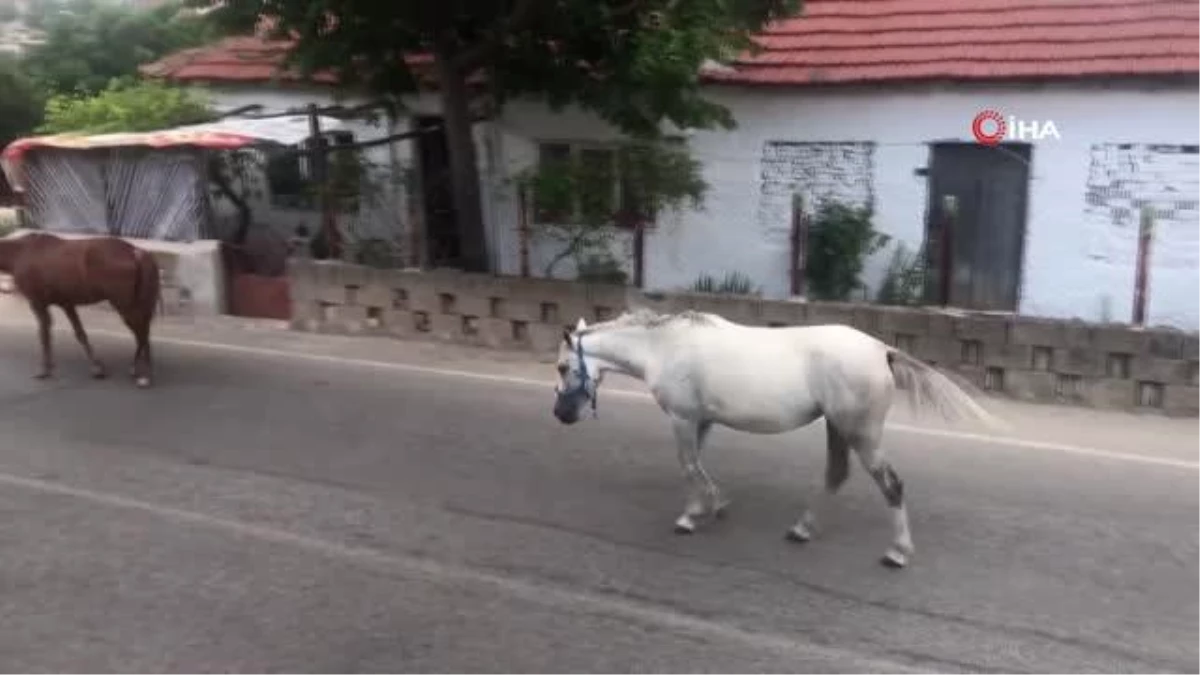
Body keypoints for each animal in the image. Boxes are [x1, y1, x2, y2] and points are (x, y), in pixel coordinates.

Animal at [0, 230, 160, 386]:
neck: (21, 252)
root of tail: (136, 252)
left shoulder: (38, 303)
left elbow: (44, 334)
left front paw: (44, 370)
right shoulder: (66, 303)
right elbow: (80, 333)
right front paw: (97, 368)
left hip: (124, 305)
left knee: (142, 333)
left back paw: (145, 375)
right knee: (143, 333)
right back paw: (138, 368)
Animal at [552, 309, 1003, 566]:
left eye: (561, 367)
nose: (560, 415)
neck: (666, 347)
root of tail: (882, 350)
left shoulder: (682, 418)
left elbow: (689, 465)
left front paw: (691, 516)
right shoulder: (701, 420)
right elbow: (697, 465)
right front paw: (712, 506)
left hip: (860, 433)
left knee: (891, 485)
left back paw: (898, 552)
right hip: (838, 428)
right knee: (836, 476)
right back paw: (801, 529)